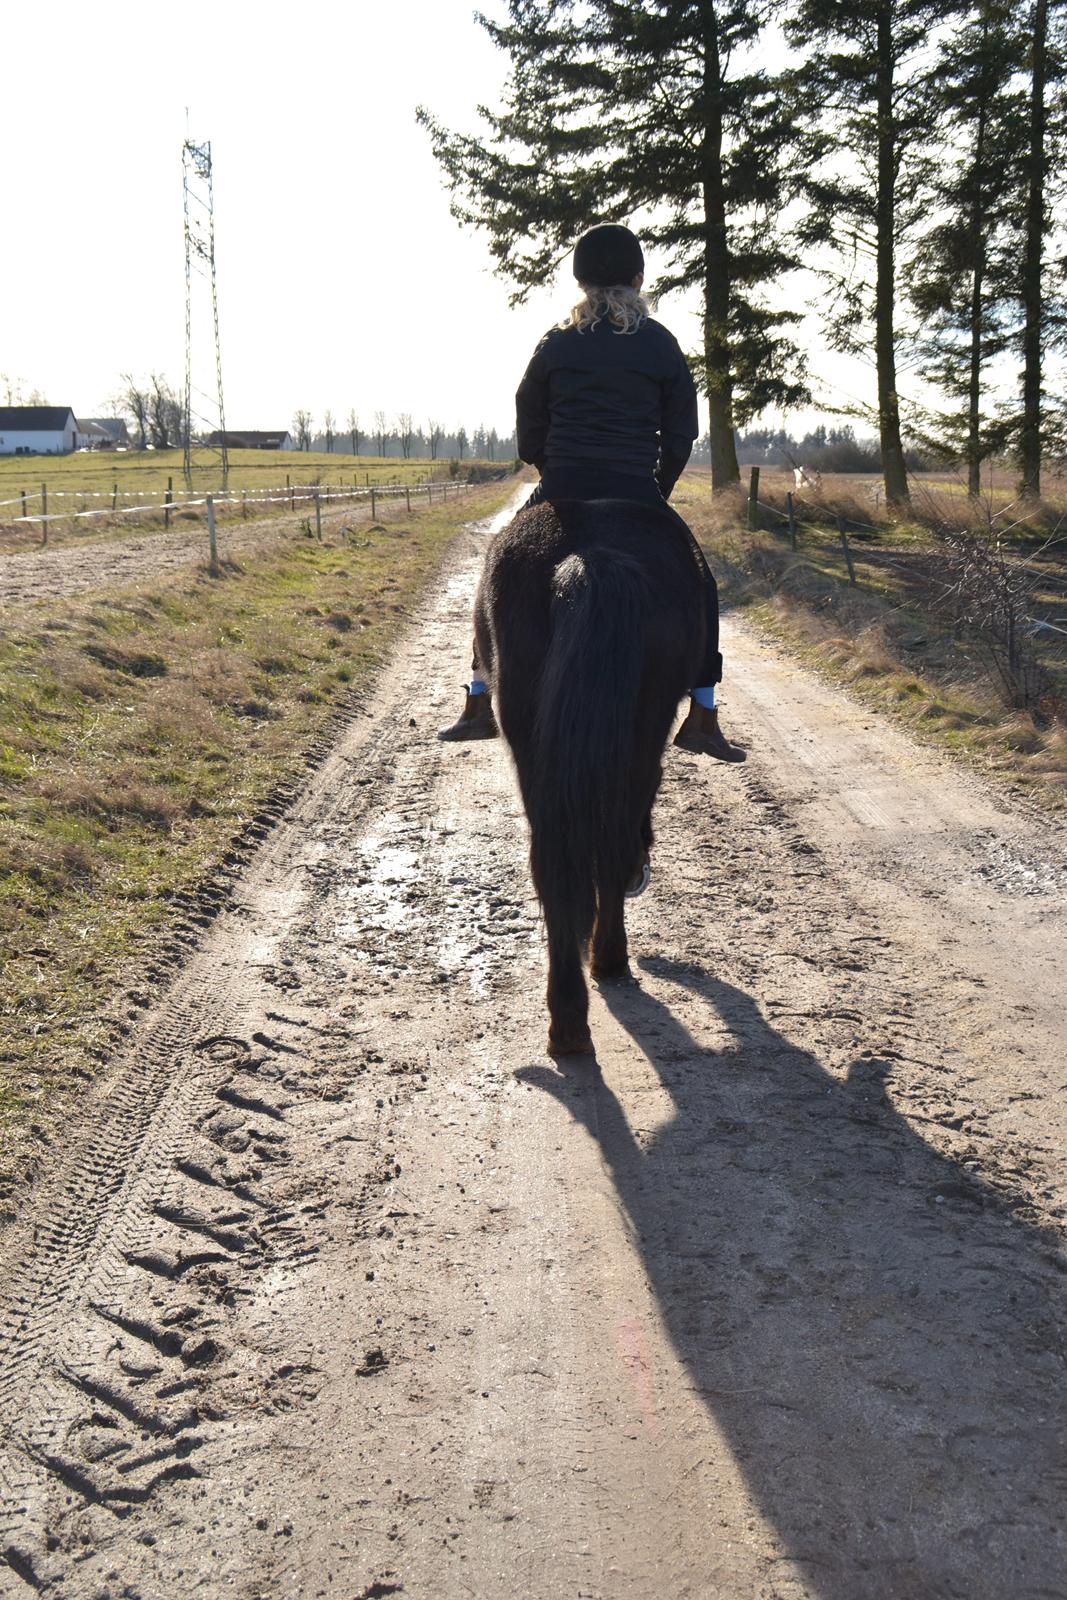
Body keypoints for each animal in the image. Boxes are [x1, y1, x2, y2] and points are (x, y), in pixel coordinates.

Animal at [476, 492, 710, 1056]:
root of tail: (592, 559)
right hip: (643, 736)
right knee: (615, 843)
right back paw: (607, 959)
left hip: (531, 737)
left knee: (555, 860)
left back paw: (568, 1020)